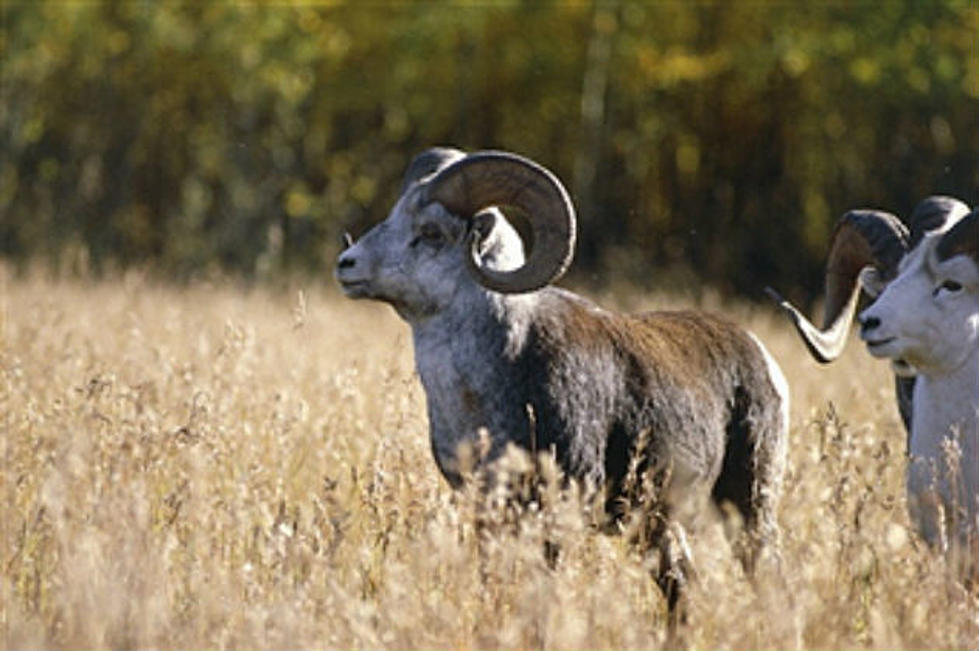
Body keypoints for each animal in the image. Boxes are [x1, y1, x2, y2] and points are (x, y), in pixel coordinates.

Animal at [336, 148, 788, 612]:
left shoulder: (557, 510)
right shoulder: (488, 513)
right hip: (658, 526)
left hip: (749, 504)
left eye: (430, 232)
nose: (347, 265)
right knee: (681, 584)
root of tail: (760, 354)